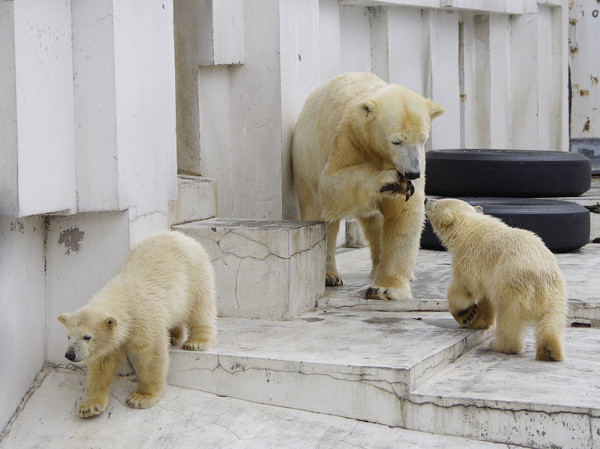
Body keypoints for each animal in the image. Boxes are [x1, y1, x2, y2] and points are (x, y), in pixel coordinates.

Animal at [292, 72, 442, 300]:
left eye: (422, 139)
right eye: (396, 141)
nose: (412, 173)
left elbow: (402, 214)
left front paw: (386, 288)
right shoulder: (347, 138)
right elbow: (333, 183)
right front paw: (388, 179)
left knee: (376, 223)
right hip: (307, 156)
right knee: (320, 212)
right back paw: (329, 275)